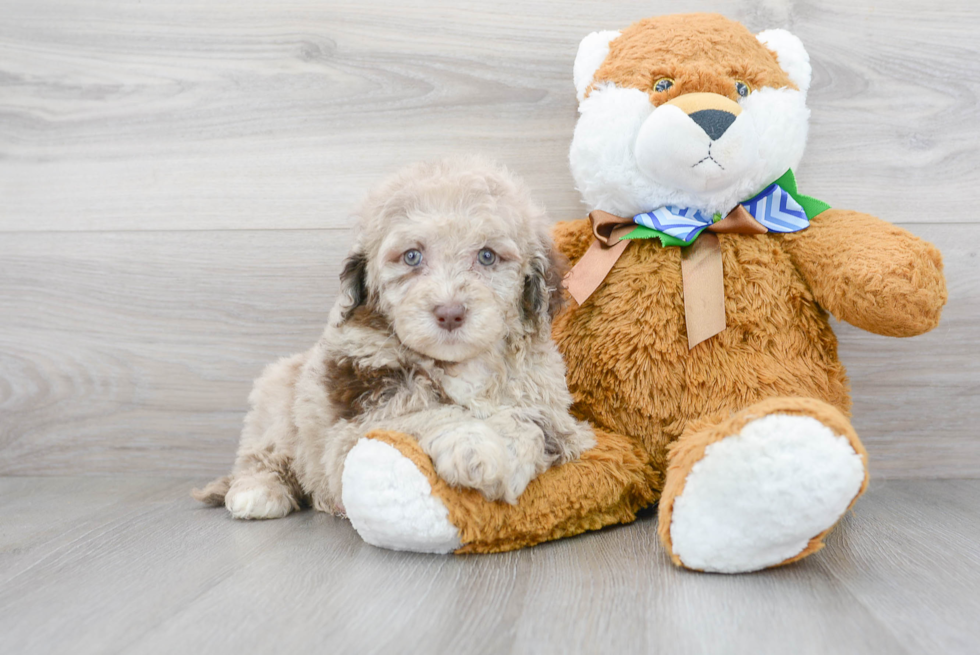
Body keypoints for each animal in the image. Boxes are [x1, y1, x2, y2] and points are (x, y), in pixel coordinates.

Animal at [189, 156, 588, 520]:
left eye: (487, 256)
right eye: (412, 256)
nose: (450, 312)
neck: (460, 365)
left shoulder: (555, 415)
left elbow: (526, 423)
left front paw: (496, 456)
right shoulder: (362, 417)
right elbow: (425, 415)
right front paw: (473, 445)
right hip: (275, 399)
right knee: (262, 455)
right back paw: (258, 491)